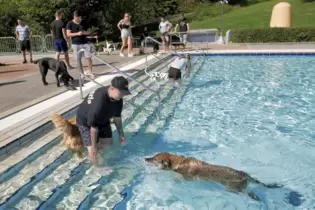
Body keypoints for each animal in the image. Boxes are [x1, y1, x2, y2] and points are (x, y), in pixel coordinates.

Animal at [146, 153, 284, 200]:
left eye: (154, 159)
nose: (145, 159)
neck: (177, 162)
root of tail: (246, 175)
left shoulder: (186, 177)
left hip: (232, 188)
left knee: (247, 191)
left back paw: (254, 196)